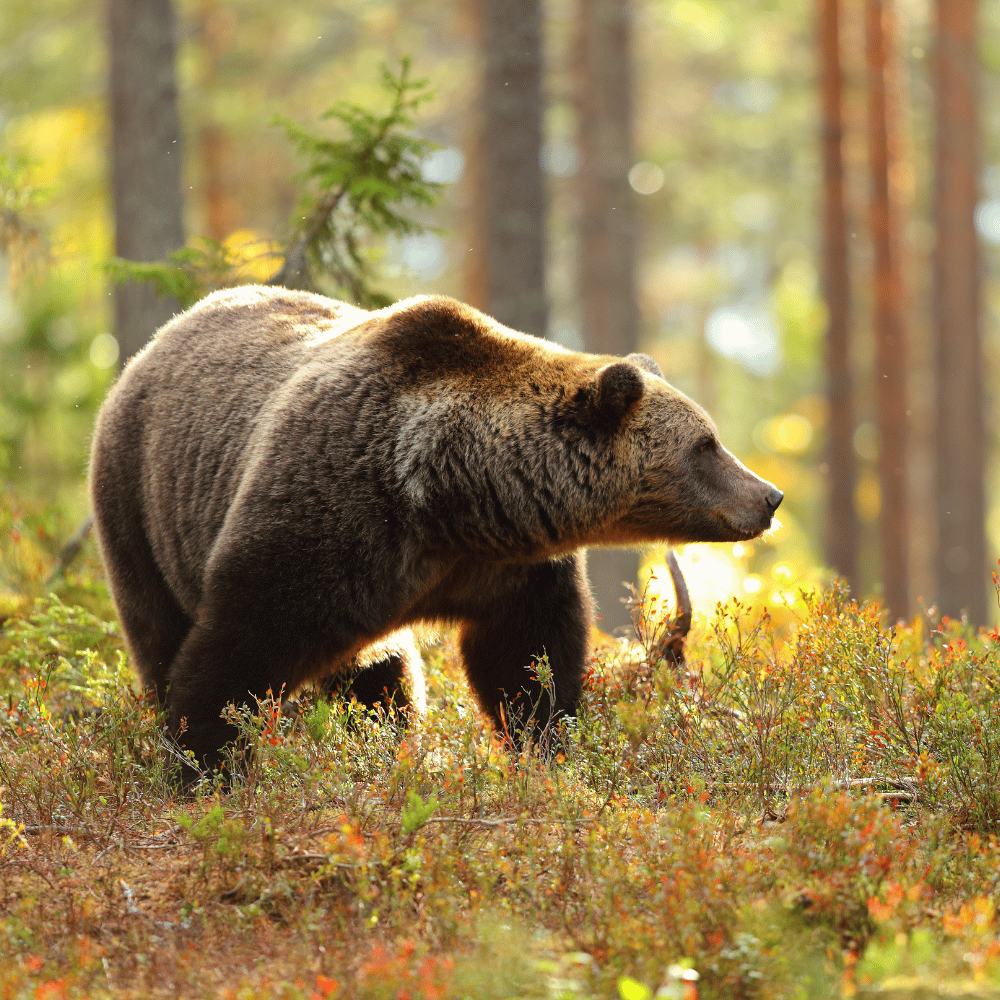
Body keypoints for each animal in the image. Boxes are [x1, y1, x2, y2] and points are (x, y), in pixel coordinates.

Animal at [88, 285, 782, 776]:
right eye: (705, 445)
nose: (769, 497)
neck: (452, 497)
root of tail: (153, 344)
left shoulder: (506, 568)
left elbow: (524, 658)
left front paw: (545, 743)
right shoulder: (328, 513)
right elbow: (240, 642)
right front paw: (206, 760)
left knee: (380, 675)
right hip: (139, 503)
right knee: (158, 627)